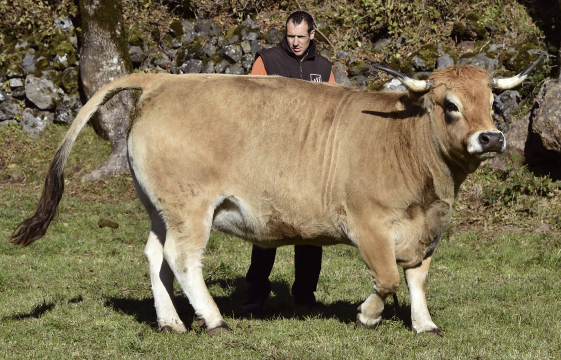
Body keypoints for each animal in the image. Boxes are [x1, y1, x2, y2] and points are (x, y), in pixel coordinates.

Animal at [8, 54, 544, 336]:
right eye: (449, 105)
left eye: (492, 101)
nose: (491, 138)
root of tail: (165, 79)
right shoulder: (368, 224)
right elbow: (389, 277)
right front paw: (367, 315)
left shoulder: (427, 228)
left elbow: (417, 278)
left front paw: (424, 324)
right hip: (190, 208)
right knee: (183, 259)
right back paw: (212, 319)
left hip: (162, 207)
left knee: (155, 255)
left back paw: (171, 322)